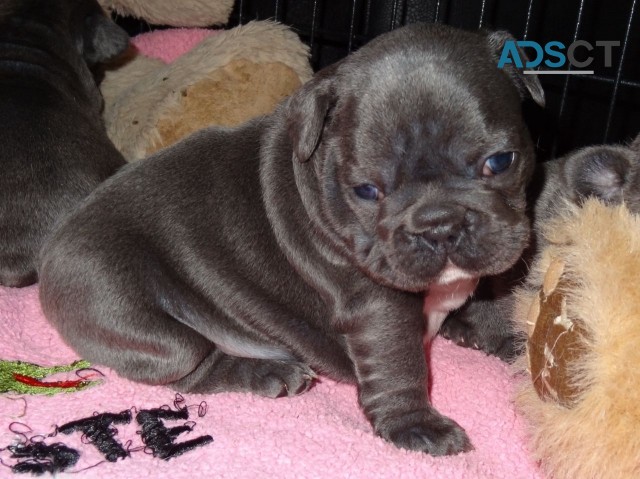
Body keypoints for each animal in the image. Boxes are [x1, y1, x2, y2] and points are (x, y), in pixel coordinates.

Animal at [37, 23, 544, 458]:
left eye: (501, 161)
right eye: (366, 190)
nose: (439, 224)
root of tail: (51, 253)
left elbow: (495, 289)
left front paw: (506, 338)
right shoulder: (376, 302)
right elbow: (397, 360)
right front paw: (415, 425)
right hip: (129, 311)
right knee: (191, 363)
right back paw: (267, 372)